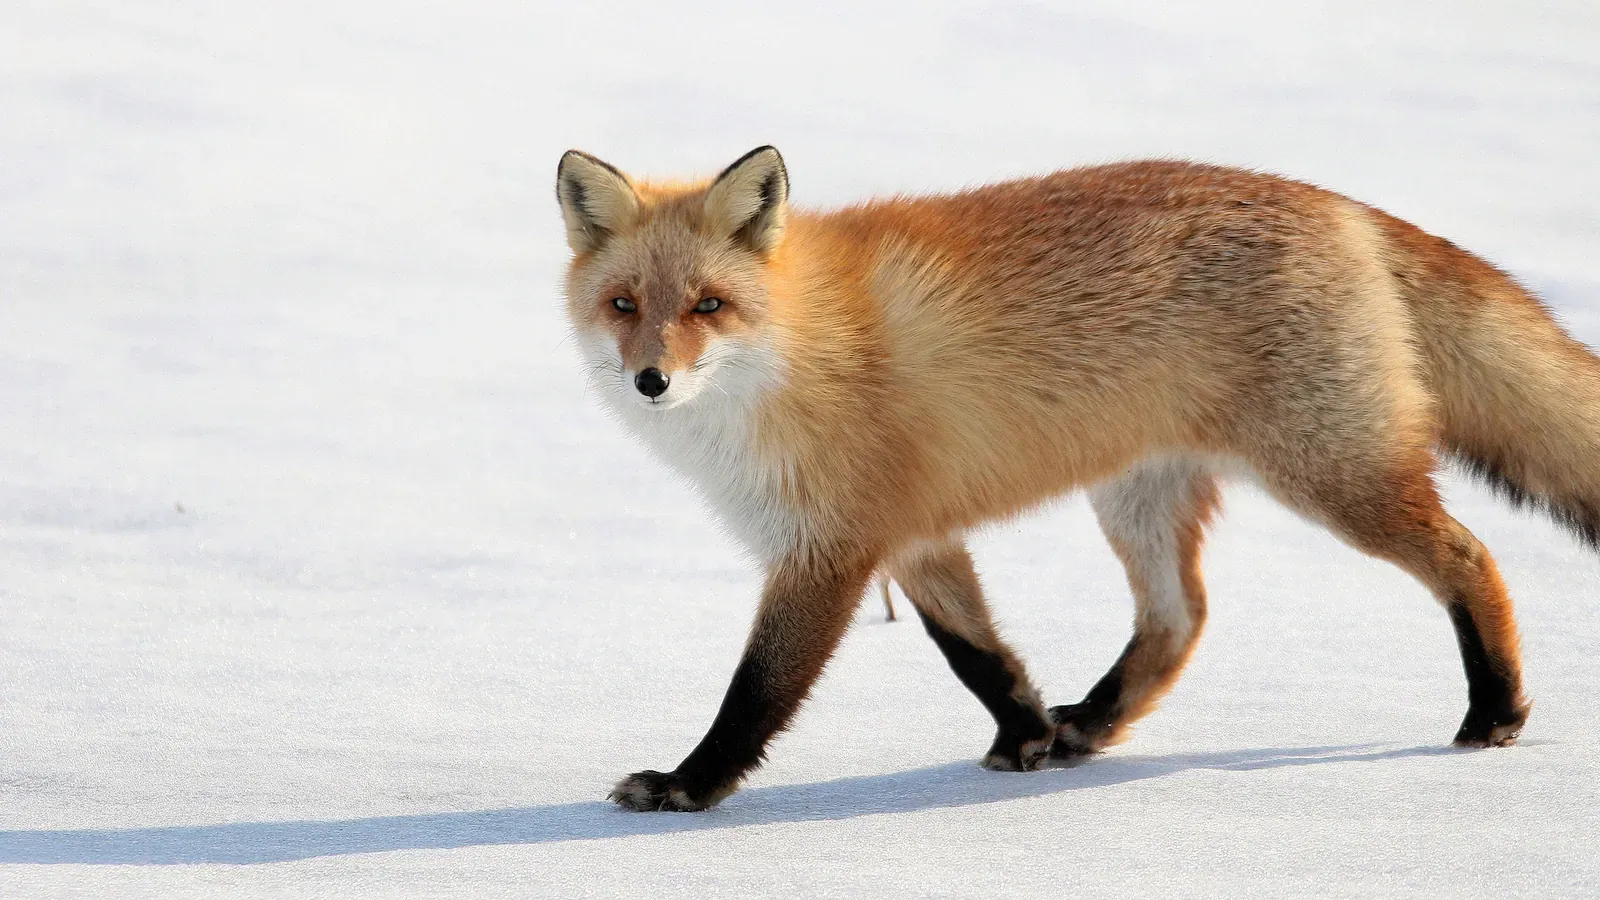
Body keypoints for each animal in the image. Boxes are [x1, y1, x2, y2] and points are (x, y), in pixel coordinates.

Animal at [557, 145, 1597, 812]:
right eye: (624, 306)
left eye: (709, 306)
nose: (652, 380)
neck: (797, 350)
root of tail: (1338, 202)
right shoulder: (916, 533)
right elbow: (977, 654)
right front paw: (1025, 738)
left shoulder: (832, 548)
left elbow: (757, 691)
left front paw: (689, 787)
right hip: (1139, 497)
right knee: (1180, 618)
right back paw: (1091, 725)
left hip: (1336, 477)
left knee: (1471, 557)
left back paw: (1495, 712)